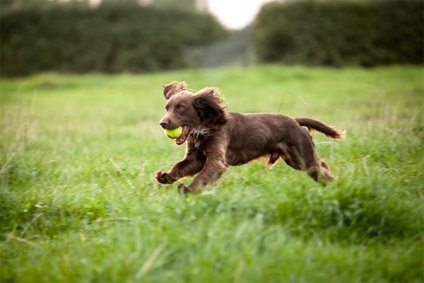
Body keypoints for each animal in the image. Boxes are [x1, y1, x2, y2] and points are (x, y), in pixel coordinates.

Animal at [156, 81, 344, 194]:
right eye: (167, 108)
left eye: (181, 108)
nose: (162, 123)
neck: (205, 127)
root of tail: (295, 121)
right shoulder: (196, 157)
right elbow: (180, 166)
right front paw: (166, 176)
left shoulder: (217, 160)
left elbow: (202, 177)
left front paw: (188, 190)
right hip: (295, 160)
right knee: (322, 165)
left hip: (303, 157)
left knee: (321, 170)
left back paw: (336, 187)